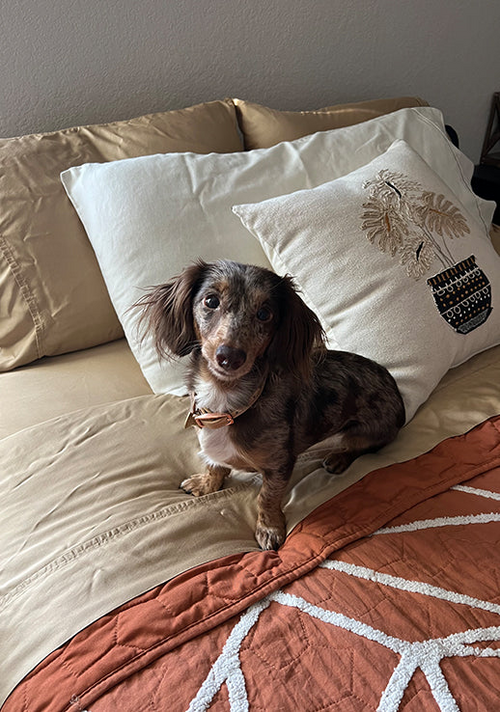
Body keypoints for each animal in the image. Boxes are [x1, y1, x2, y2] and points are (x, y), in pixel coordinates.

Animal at [137, 260, 406, 552]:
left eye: (265, 314)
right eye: (211, 301)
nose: (229, 357)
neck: (227, 402)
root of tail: (395, 388)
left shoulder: (280, 465)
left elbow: (266, 498)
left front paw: (269, 528)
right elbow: (215, 465)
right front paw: (207, 484)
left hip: (365, 432)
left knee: (360, 447)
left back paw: (338, 458)